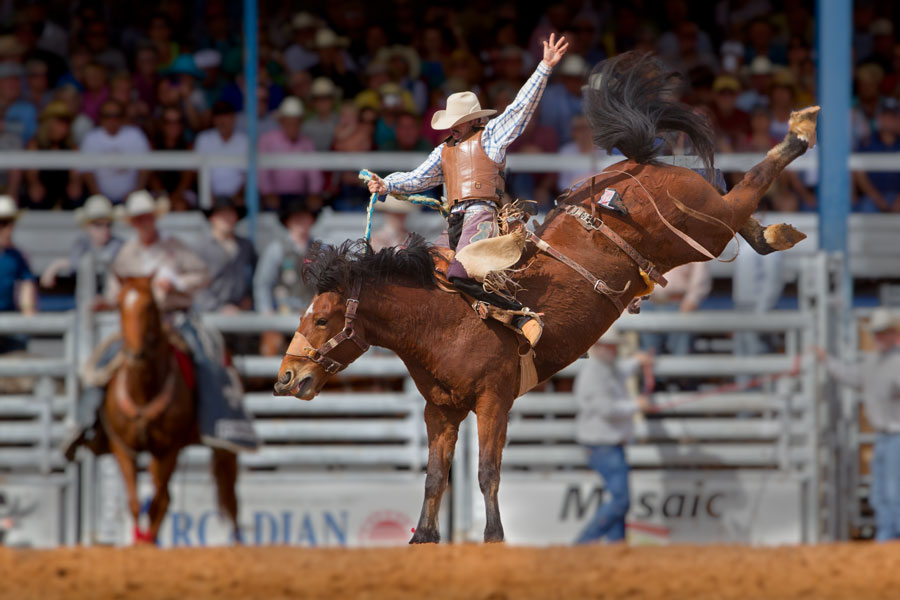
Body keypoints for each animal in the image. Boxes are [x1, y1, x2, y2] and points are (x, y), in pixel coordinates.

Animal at [106, 276, 241, 544]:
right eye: (119, 306)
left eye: (150, 306)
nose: (135, 354)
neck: (144, 391)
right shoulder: (123, 447)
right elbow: (135, 502)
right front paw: (138, 540)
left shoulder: (168, 449)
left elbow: (159, 502)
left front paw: (146, 542)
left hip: (224, 448)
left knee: (229, 498)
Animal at [270, 54, 820, 548]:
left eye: (322, 319)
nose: (286, 378)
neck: (439, 320)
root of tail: (637, 165)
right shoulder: (440, 411)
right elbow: (435, 477)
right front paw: (423, 538)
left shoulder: (494, 399)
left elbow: (486, 472)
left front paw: (493, 538)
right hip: (702, 228)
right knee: (742, 209)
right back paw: (776, 229)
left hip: (704, 222)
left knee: (746, 189)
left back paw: (798, 132)